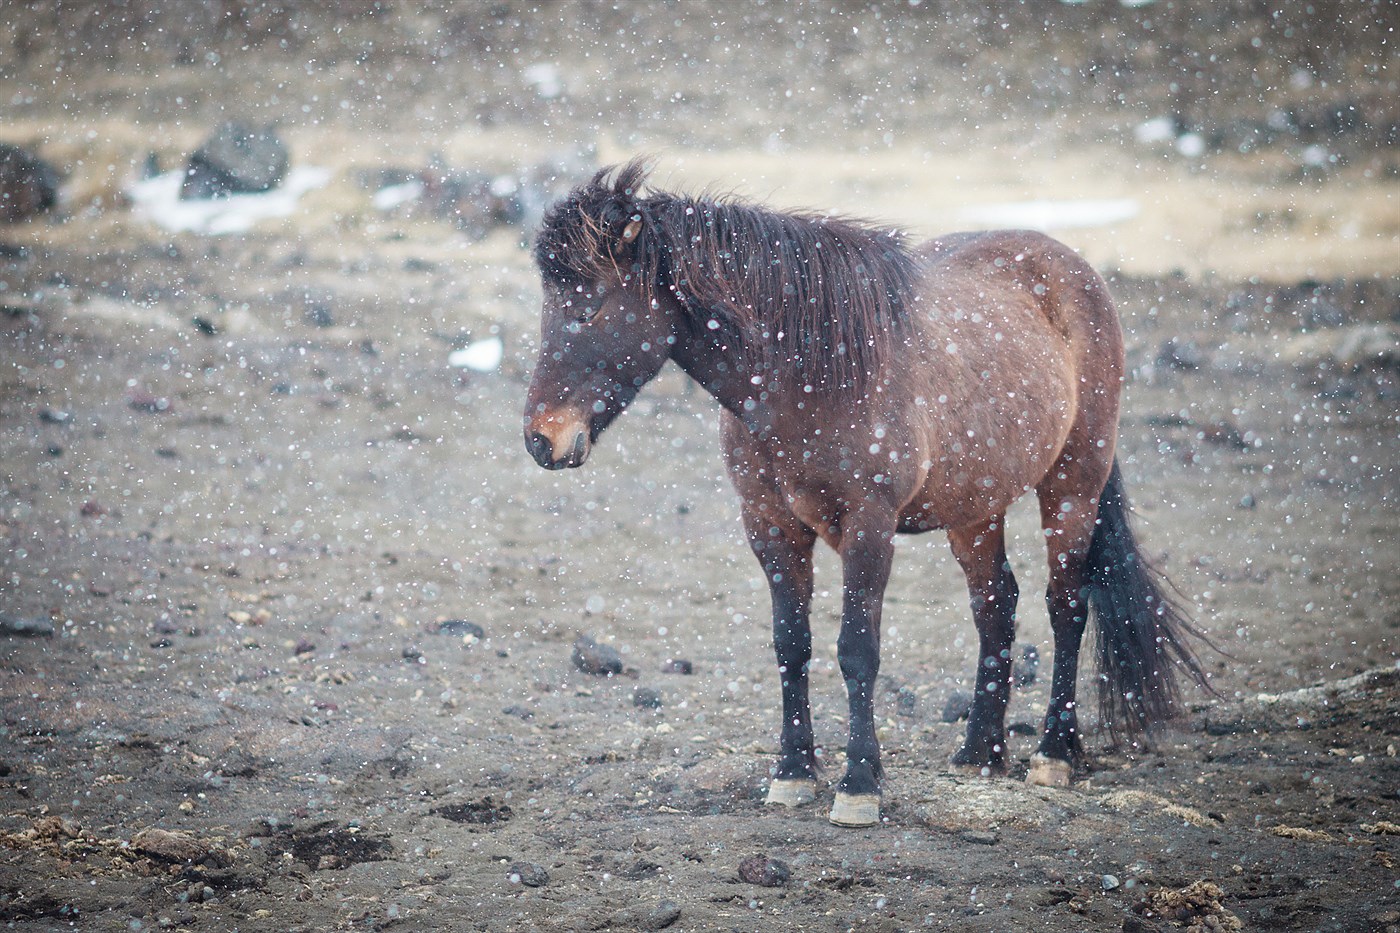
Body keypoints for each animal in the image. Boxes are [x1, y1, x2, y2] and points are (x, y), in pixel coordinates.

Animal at [520, 161, 1209, 829]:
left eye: (590, 308)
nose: (540, 440)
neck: (808, 373)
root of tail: (1073, 266)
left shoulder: (868, 526)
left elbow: (857, 650)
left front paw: (858, 787)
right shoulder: (769, 526)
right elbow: (791, 645)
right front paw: (793, 774)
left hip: (1073, 484)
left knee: (1066, 604)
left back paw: (1053, 755)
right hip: (976, 506)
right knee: (997, 605)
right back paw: (978, 754)